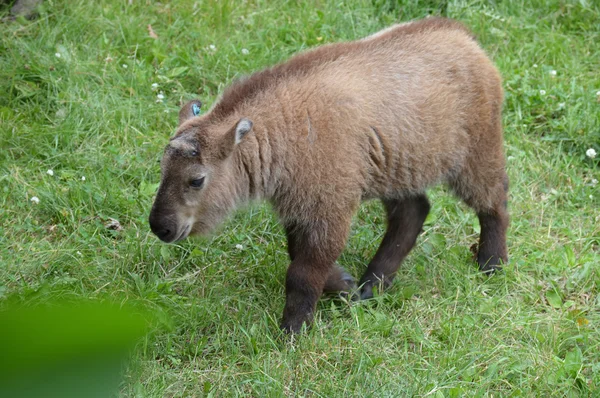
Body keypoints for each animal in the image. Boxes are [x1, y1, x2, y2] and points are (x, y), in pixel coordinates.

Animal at [149, 17, 506, 332]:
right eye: (162, 169)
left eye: (197, 179)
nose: (160, 227)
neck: (283, 131)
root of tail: (463, 36)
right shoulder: (300, 208)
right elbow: (299, 258)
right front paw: (345, 285)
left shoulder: (328, 209)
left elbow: (302, 272)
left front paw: (293, 329)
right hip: (397, 171)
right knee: (413, 212)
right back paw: (372, 285)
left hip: (477, 153)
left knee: (495, 202)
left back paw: (492, 265)